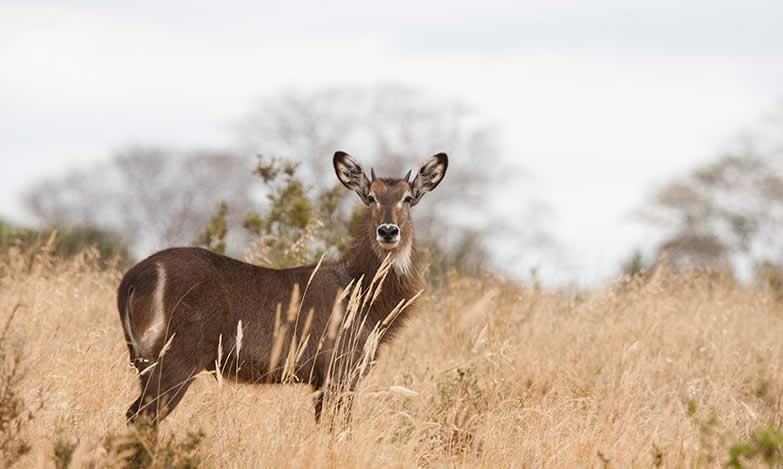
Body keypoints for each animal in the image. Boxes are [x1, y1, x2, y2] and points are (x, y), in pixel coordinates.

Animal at [116, 150, 448, 424]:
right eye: (371, 197)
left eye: (408, 197)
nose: (388, 231)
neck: (362, 295)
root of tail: (131, 280)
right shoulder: (339, 371)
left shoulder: (321, 381)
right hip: (175, 360)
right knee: (140, 416)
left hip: (143, 361)